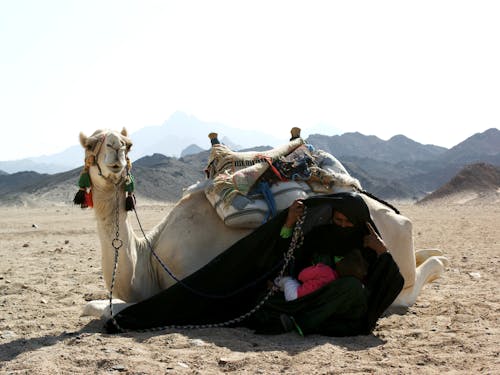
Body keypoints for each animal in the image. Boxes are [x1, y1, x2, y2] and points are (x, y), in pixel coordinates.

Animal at [81, 129, 450, 320]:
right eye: (92, 143)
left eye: (127, 144)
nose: (115, 150)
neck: (149, 260)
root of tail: (400, 216)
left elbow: (103, 309)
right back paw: (437, 254)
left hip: (392, 251)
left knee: (407, 288)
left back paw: (438, 261)